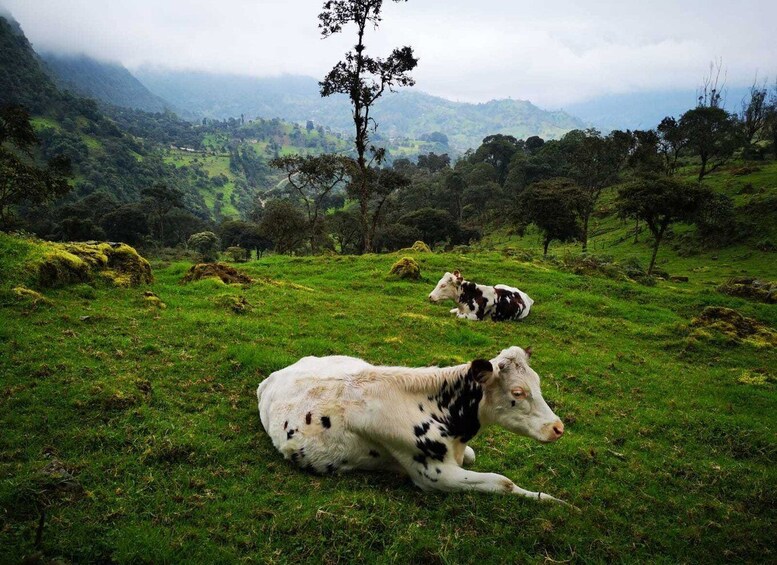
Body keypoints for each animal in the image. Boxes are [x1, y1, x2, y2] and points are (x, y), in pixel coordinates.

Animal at [258, 346, 568, 504]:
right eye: (518, 392)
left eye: (537, 381)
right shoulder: (435, 476)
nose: (558, 427)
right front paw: (552, 501)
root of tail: (277, 373)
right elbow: (503, 482)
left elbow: (473, 456)